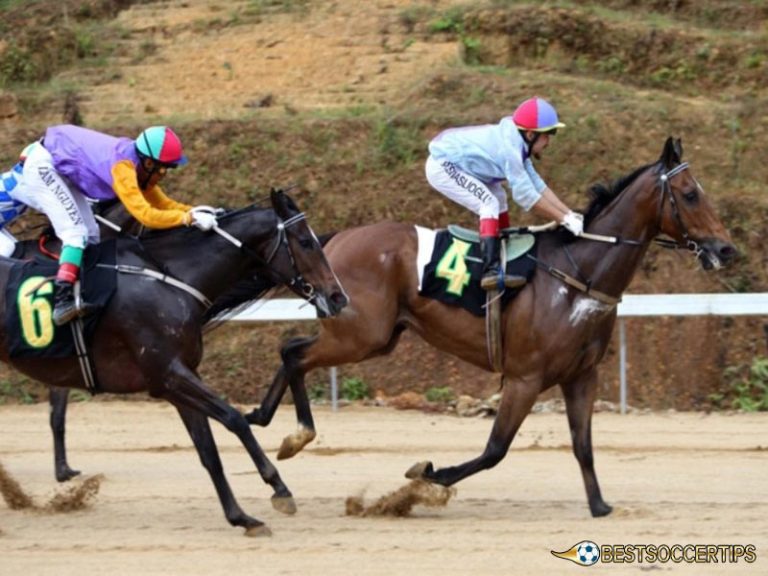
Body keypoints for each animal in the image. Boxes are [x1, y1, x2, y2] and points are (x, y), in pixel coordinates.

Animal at [0, 189, 347, 534]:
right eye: (305, 241)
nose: (338, 297)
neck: (170, 279)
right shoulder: (167, 375)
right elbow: (234, 419)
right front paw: (279, 488)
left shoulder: (179, 377)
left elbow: (208, 451)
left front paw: (241, 516)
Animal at [244, 137, 737, 518]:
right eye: (690, 194)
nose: (726, 249)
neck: (579, 273)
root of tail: (331, 242)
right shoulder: (525, 377)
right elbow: (495, 450)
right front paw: (426, 477)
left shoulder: (581, 376)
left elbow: (582, 445)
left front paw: (599, 505)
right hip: (359, 335)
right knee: (295, 353)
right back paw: (292, 435)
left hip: (373, 337)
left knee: (292, 350)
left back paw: (265, 420)